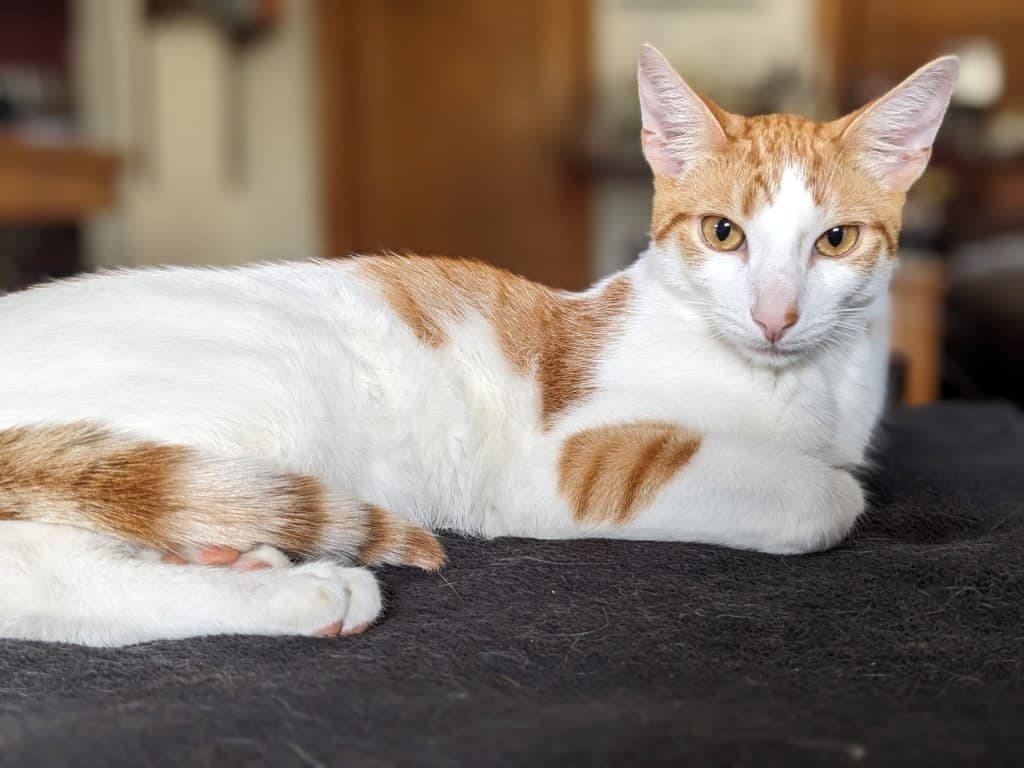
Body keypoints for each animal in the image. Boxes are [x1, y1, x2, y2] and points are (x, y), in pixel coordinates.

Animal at [0, 46, 958, 651]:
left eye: (834, 242)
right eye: (725, 234)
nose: (775, 314)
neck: (800, 386)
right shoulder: (564, 464)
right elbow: (828, 495)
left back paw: (234, 554)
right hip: (260, 386)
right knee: (36, 572)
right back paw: (302, 591)